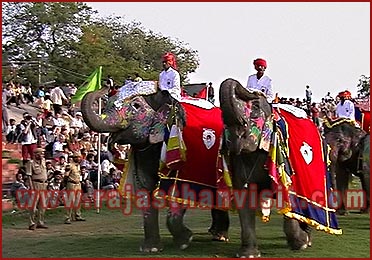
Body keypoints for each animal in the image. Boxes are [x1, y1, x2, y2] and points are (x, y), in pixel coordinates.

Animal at [81, 83, 230, 252]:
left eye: (136, 106)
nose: (106, 85)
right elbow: (144, 188)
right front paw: (150, 249)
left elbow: (180, 189)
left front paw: (185, 241)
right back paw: (217, 234)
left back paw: (219, 236)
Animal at [219, 78, 342, 258]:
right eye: (221, 114)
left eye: (256, 107)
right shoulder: (239, 162)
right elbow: (244, 198)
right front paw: (247, 254)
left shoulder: (286, 160)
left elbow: (289, 199)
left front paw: (300, 244)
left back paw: (308, 240)